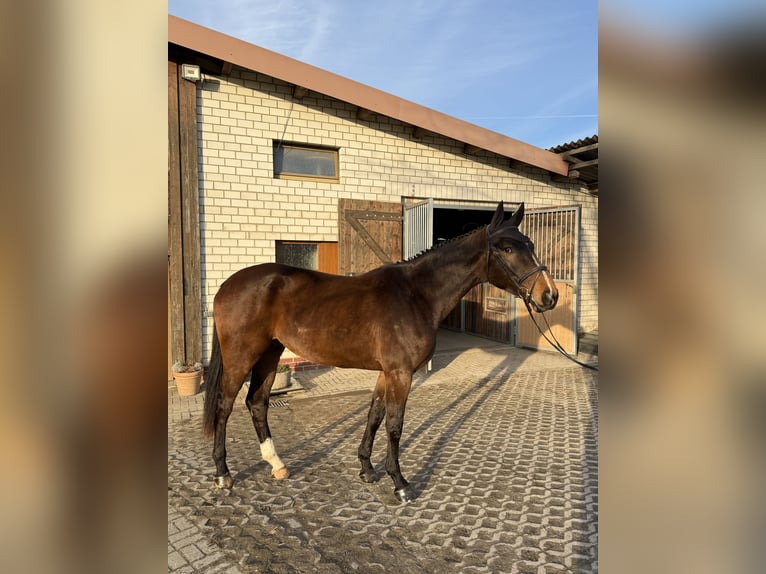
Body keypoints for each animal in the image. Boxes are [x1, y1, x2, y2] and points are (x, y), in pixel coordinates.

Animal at [202, 201, 558, 502]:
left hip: (271, 354)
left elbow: (374, 416)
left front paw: (367, 469)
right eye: (507, 248)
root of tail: (226, 286)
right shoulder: (401, 373)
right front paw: (400, 483)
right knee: (224, 406)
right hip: (242, 356)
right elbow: (394, 425)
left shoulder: (386, 373)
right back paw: (223, 475)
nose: (549, 295)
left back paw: (277, 464)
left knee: (257, 402)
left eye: (530, 245)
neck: (416, 295)